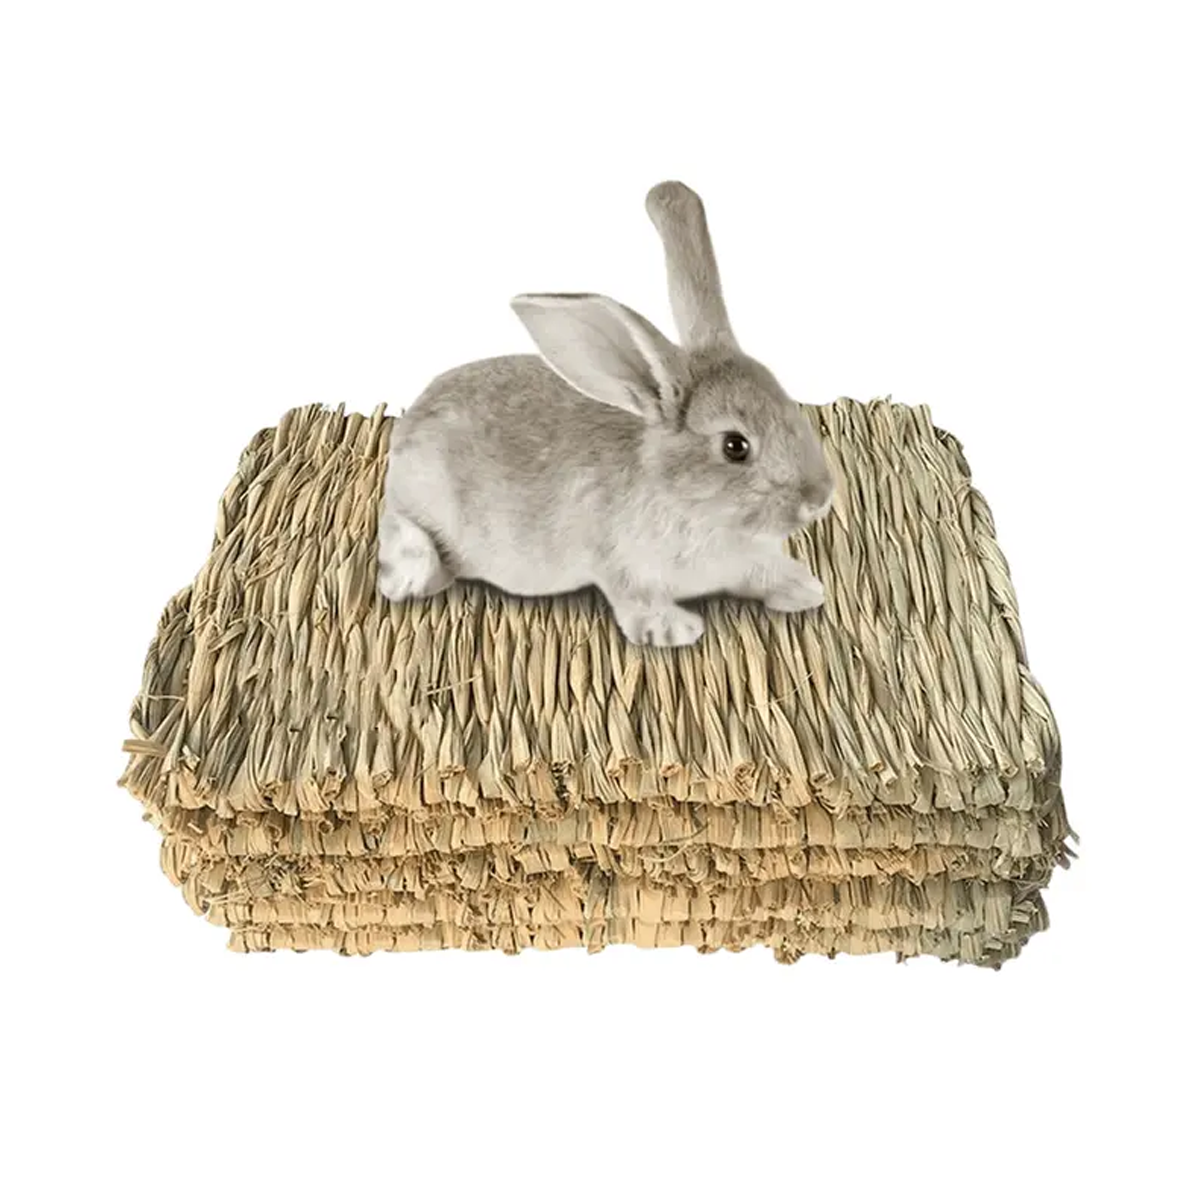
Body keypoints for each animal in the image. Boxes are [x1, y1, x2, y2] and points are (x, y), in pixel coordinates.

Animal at [377, 181, 835, 647]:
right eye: (735, 446)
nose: (820, 498)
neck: (682, 498)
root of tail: (412, 419)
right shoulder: (622, 565)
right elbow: (636, 598)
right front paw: (673, 629)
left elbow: (763, 572)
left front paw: (803, 587)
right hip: (421, 500)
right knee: (396, 523)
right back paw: (411, 575)